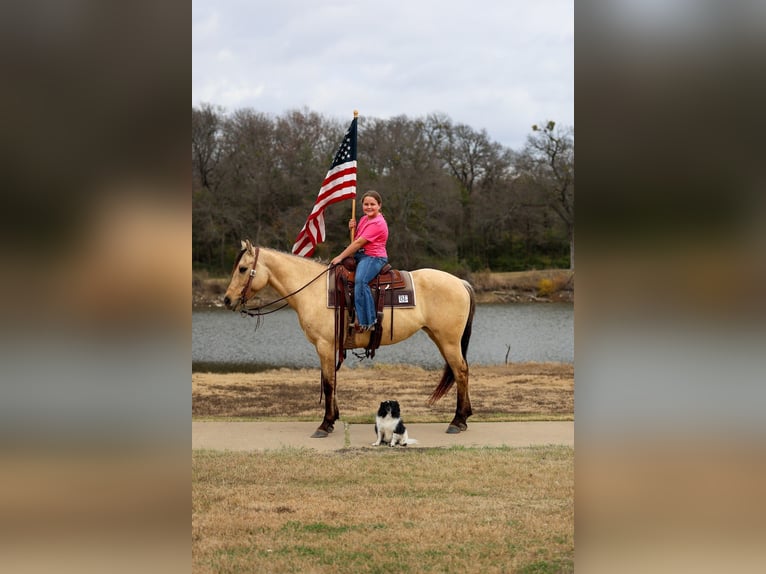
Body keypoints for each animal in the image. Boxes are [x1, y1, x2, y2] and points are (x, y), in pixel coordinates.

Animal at [223, 240, 476, 438]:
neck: (314, 290)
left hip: (449, 341)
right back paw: (463, 418)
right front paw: (332, 419)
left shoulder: (324, 345)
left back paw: (458, 421)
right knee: (459, 372)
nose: (226, 300)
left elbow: (327, 383)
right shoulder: (330, 347)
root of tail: (461, 283)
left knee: (461, 372)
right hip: (440, 338)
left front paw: (324, 424)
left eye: (243, 269)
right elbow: (332, 381)